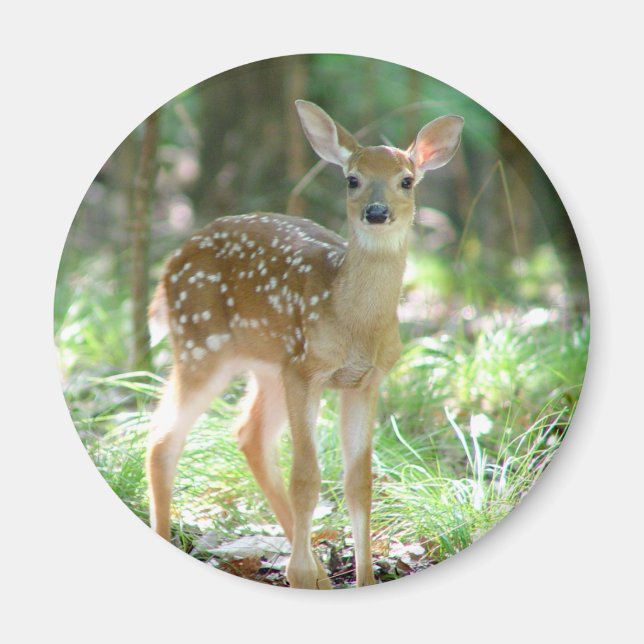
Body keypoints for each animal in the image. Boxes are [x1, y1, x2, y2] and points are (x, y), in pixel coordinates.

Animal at [146, 100, 464, 589]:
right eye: (352, 178)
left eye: (406, 180)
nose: (376, 212)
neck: (352, 322)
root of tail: (169, 268)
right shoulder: (305, 369)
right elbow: (307, 478)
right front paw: (295, 574)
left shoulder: (366, 380)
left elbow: (358, 482)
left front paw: (363, 580)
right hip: (202, 345)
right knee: (164, 439)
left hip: (265, 365)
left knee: (249, 435)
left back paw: (321, 576)